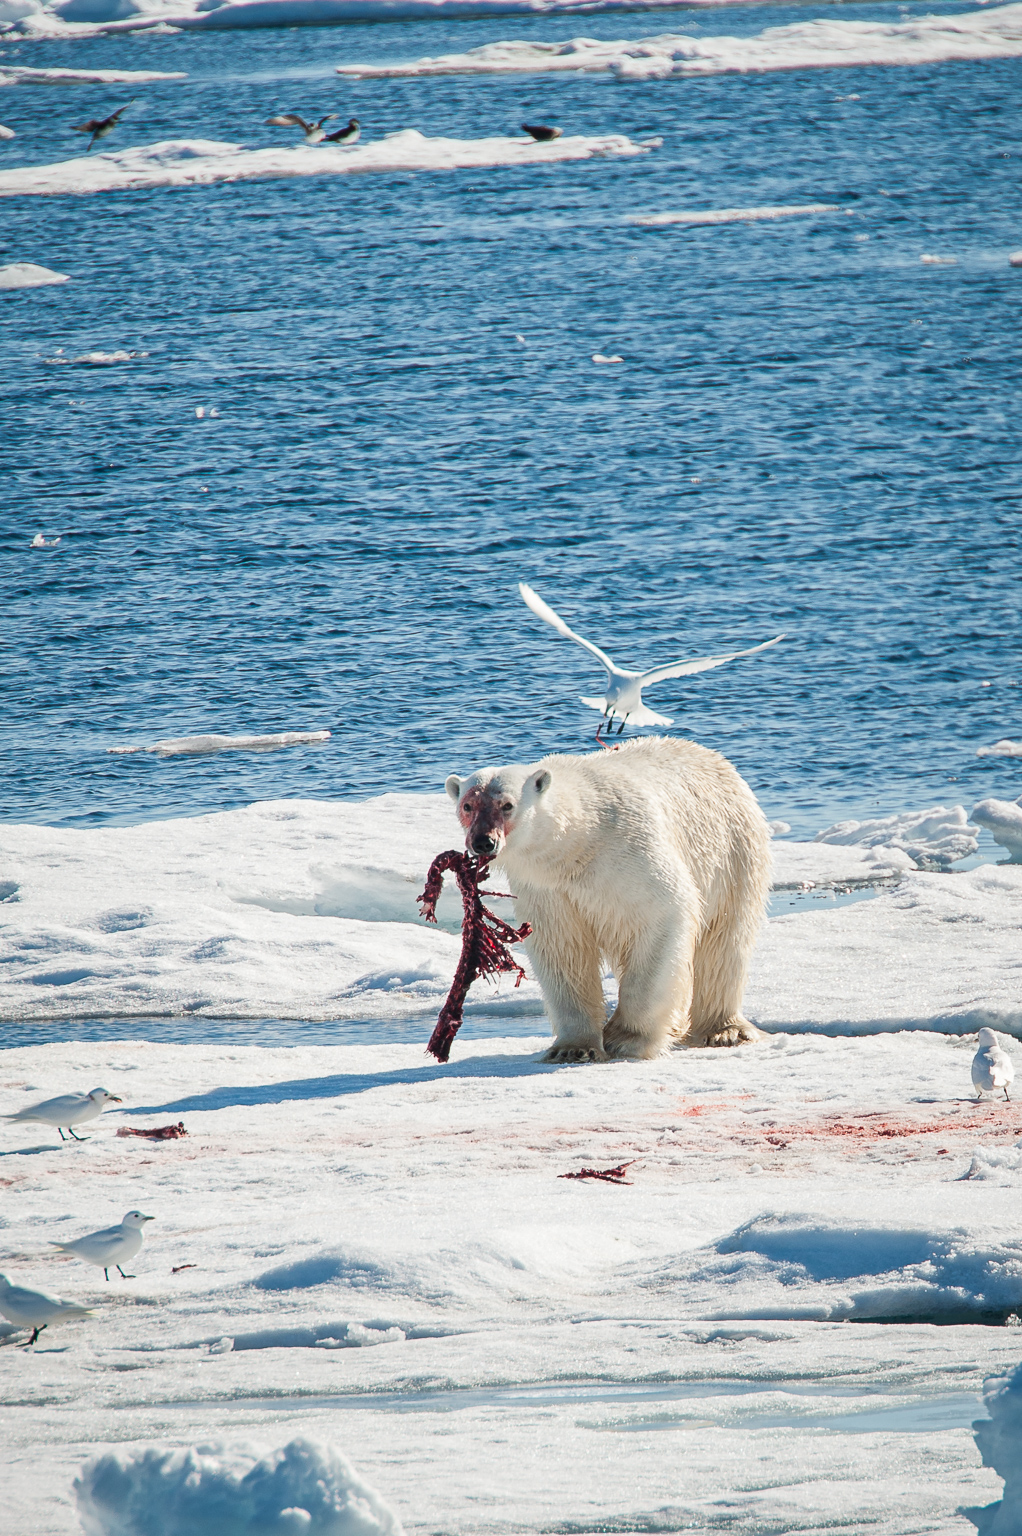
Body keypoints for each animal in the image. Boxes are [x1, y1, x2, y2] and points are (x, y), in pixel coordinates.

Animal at [445, 736, 770, 1061]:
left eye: (507, 805)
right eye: (467, 805)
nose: (483, 841)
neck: (581, 840)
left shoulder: (632, 852)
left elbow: (664, 913)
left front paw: (625, 1037)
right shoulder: (546, 887)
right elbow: (562, 947)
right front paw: (572, 1048)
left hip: (733, 852)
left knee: (723, 946)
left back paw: (724, 1030)